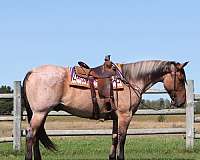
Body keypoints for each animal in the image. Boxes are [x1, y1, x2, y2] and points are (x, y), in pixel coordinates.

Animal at [23, 59, 188, 160]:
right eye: (180, 79)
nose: (181, 102)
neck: (130, 79)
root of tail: (32, 72)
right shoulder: (125, 116)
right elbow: (122, 138)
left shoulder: (116, 118)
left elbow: (114, 138)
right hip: (40, 113)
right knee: (31, 136)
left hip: (40, 114)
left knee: (35, 137)